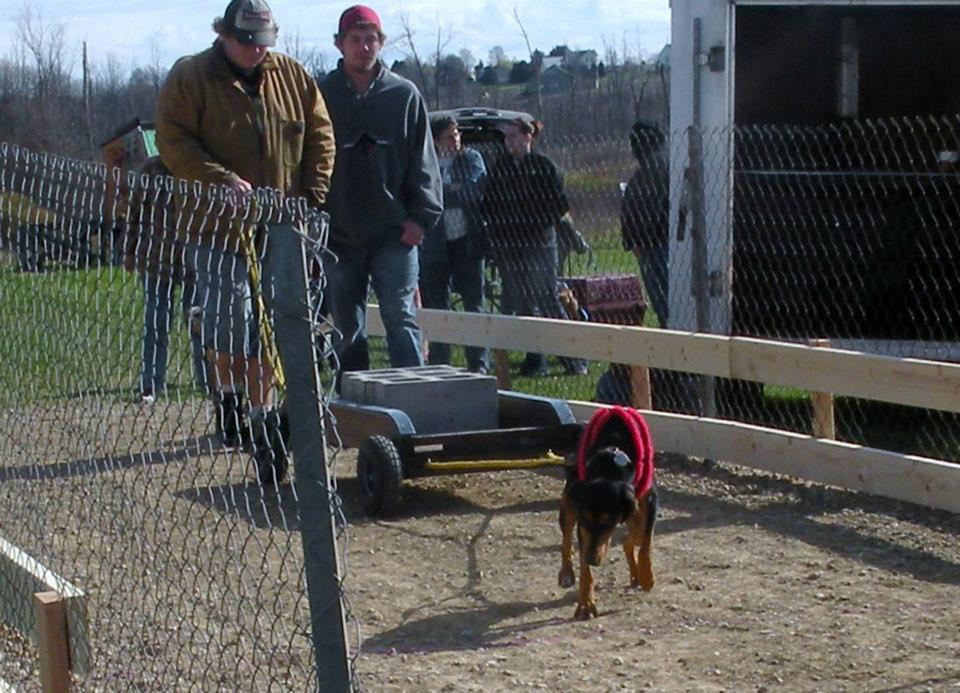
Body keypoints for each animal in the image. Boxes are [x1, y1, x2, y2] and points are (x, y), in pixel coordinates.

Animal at [560, 402, 656, 620]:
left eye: (607, 521)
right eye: (586, 519)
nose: (592, 559)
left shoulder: (649, 500)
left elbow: (645, 542)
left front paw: (646, 576)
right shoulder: (582, 519)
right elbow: (585, 568)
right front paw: (586, 604)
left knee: (634, 536)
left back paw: (637, 574)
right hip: (568, 501)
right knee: (566, 539)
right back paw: (566, 573)